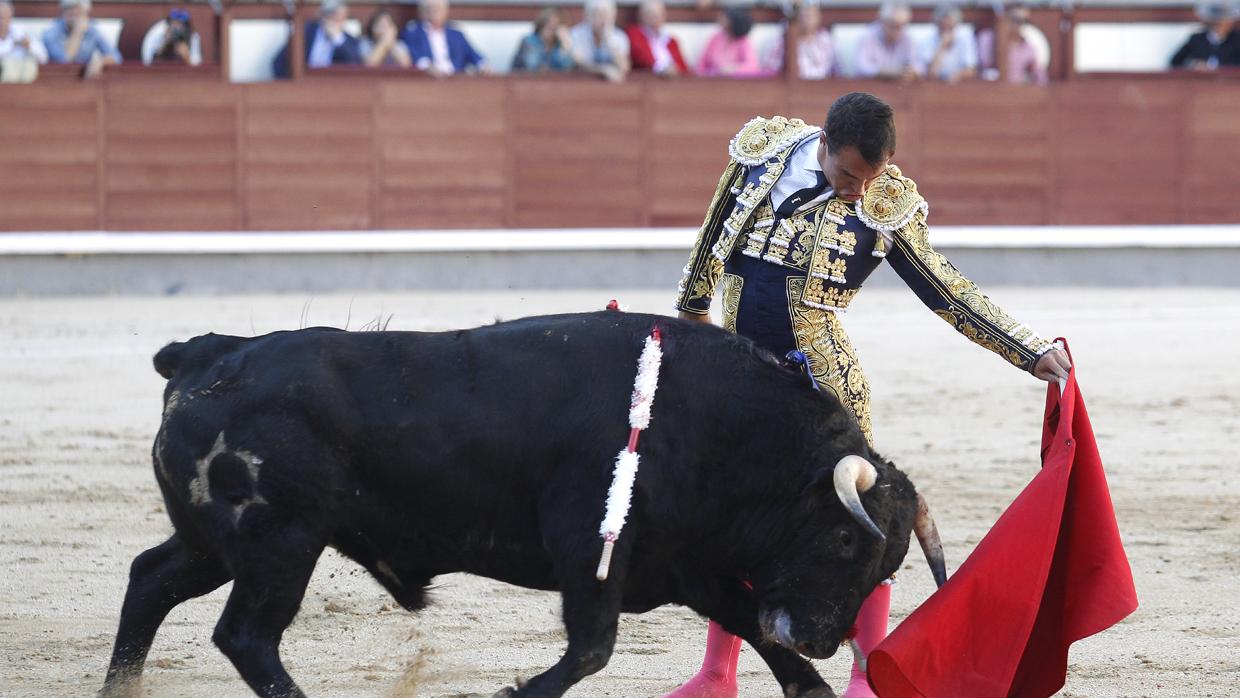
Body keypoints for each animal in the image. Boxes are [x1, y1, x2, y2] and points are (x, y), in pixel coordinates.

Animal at [104, 312, 937, 698]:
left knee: (151, 580)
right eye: (844, 543)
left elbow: (765, 650)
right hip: (280, 542)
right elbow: (591, 648)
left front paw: (811, 674)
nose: (822, 639)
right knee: (246, 635)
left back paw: (121, 686)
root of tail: (206, 355)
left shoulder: (691, 569)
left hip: (219, 545)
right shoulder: (589, 547)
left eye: (881, 567)